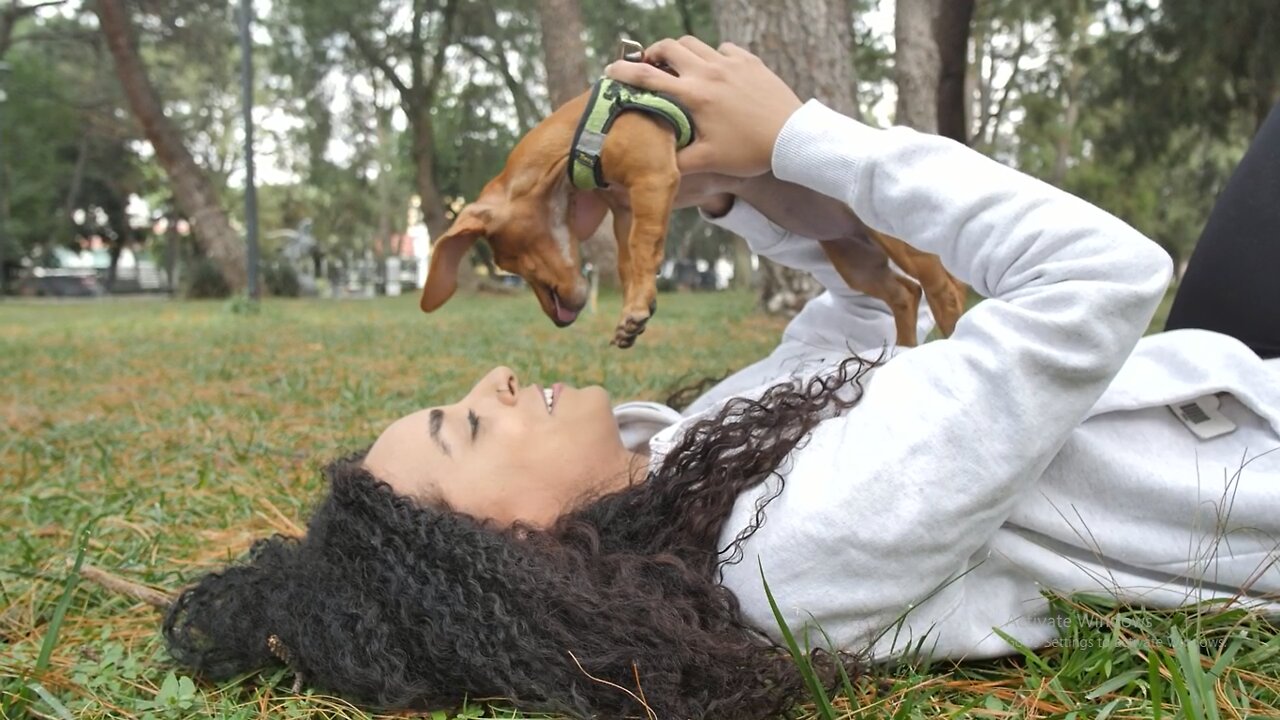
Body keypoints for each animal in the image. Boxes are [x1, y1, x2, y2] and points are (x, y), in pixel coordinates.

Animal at [424, 84, 962, 348]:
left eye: (507, 260)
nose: (559, 321)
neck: (579, 133)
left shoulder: (654, 179)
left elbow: (644, 250)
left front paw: (636, 309)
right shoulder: (627, 207)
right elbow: (630, 259)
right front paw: (633, 309)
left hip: (895, 237)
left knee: (945, 291)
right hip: (852, 254)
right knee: (905, 295)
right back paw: (904, 356)